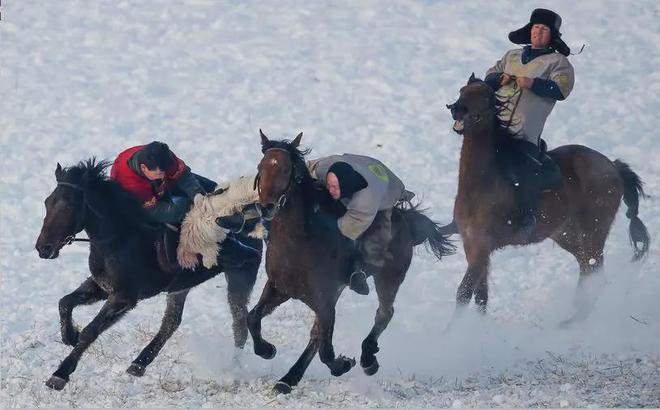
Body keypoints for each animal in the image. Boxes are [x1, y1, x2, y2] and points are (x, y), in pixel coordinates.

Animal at [32, 159, 260, 390]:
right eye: (47, 202)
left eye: (69, 205)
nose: (44, 248)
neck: (120, 237)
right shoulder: (102, 287)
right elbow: (65, 302)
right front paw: (69, 335)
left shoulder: (124, 297)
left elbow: (90, 331)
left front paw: (60, 374)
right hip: (180, 286)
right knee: (171, 323)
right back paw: (138, 364)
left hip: (241, 275)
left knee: (239, 324)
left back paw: (233, 370)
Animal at [245, 131, 456, 394]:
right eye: (260, 167)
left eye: (285, 170)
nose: (266, 207)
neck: (300, 242)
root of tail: (406, 219)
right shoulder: (279, 288)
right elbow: (253, 317)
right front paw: (268, 350)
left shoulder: (324, 299)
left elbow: (326, 350)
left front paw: (344, 364)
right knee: (318, 335)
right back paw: (288, 379)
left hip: (389, 277)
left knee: (384, 313)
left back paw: (368, 360)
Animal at [446, 74, 648, 324]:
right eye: (462, 91)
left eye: (483, 95)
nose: (456, 109)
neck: (480, 184)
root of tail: (613, 166)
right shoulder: (472, 244)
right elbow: (480, 296)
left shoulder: (482, 246)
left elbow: (464, 292)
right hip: (567, 234)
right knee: (586, 268)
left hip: (593, 231)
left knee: (594, 271)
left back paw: (575, 322)